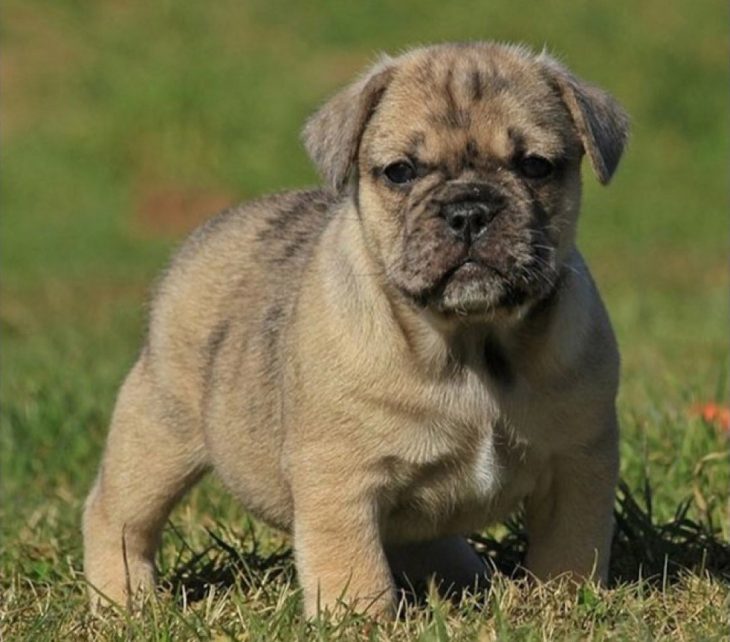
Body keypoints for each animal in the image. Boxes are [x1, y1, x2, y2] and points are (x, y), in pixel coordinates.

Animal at [81, 41, 624, 616]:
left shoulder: (579, 461)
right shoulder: (340, 480)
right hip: (158, 430)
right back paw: (124, 600)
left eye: (536, 166)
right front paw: (361, 619)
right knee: (118, 516)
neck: (469, 342)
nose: (469, 210)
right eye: (400, 172)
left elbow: (571, 546)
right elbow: (352, 565)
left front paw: (566, 602)